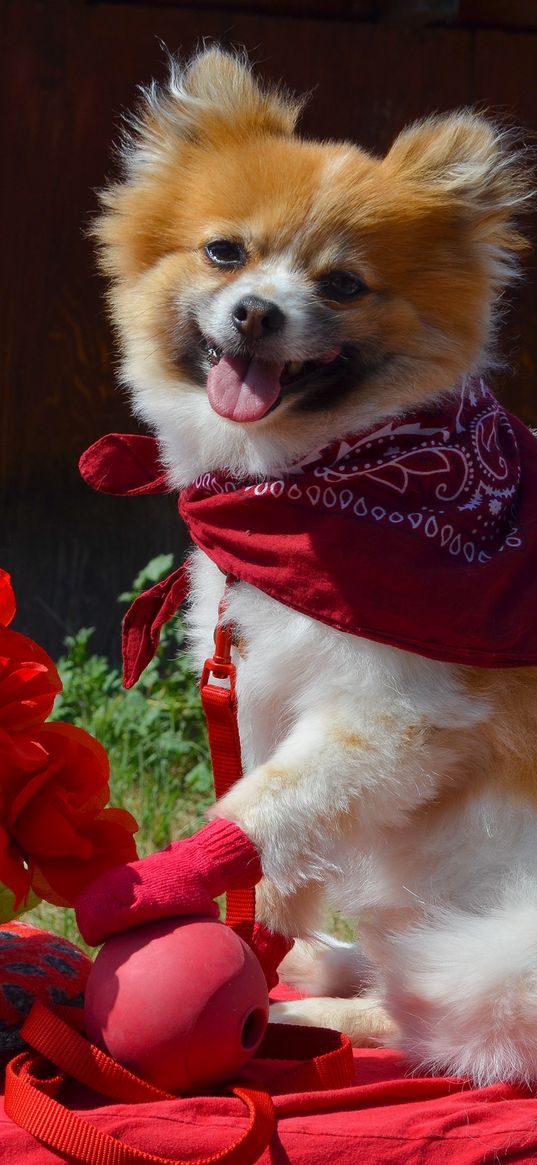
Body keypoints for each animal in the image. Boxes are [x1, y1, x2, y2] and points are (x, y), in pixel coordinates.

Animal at [93, 45, 537, 1081]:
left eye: (340, 285)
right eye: (225, 252)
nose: (257, 312)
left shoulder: (394, 714)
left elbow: (263, 807)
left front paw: (172, 882)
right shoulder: (260, 683)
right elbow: (279, 827)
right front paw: (266, 928)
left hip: (493, 955)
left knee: (430, 1019)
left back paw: (322, 1012)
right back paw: (314, 964)